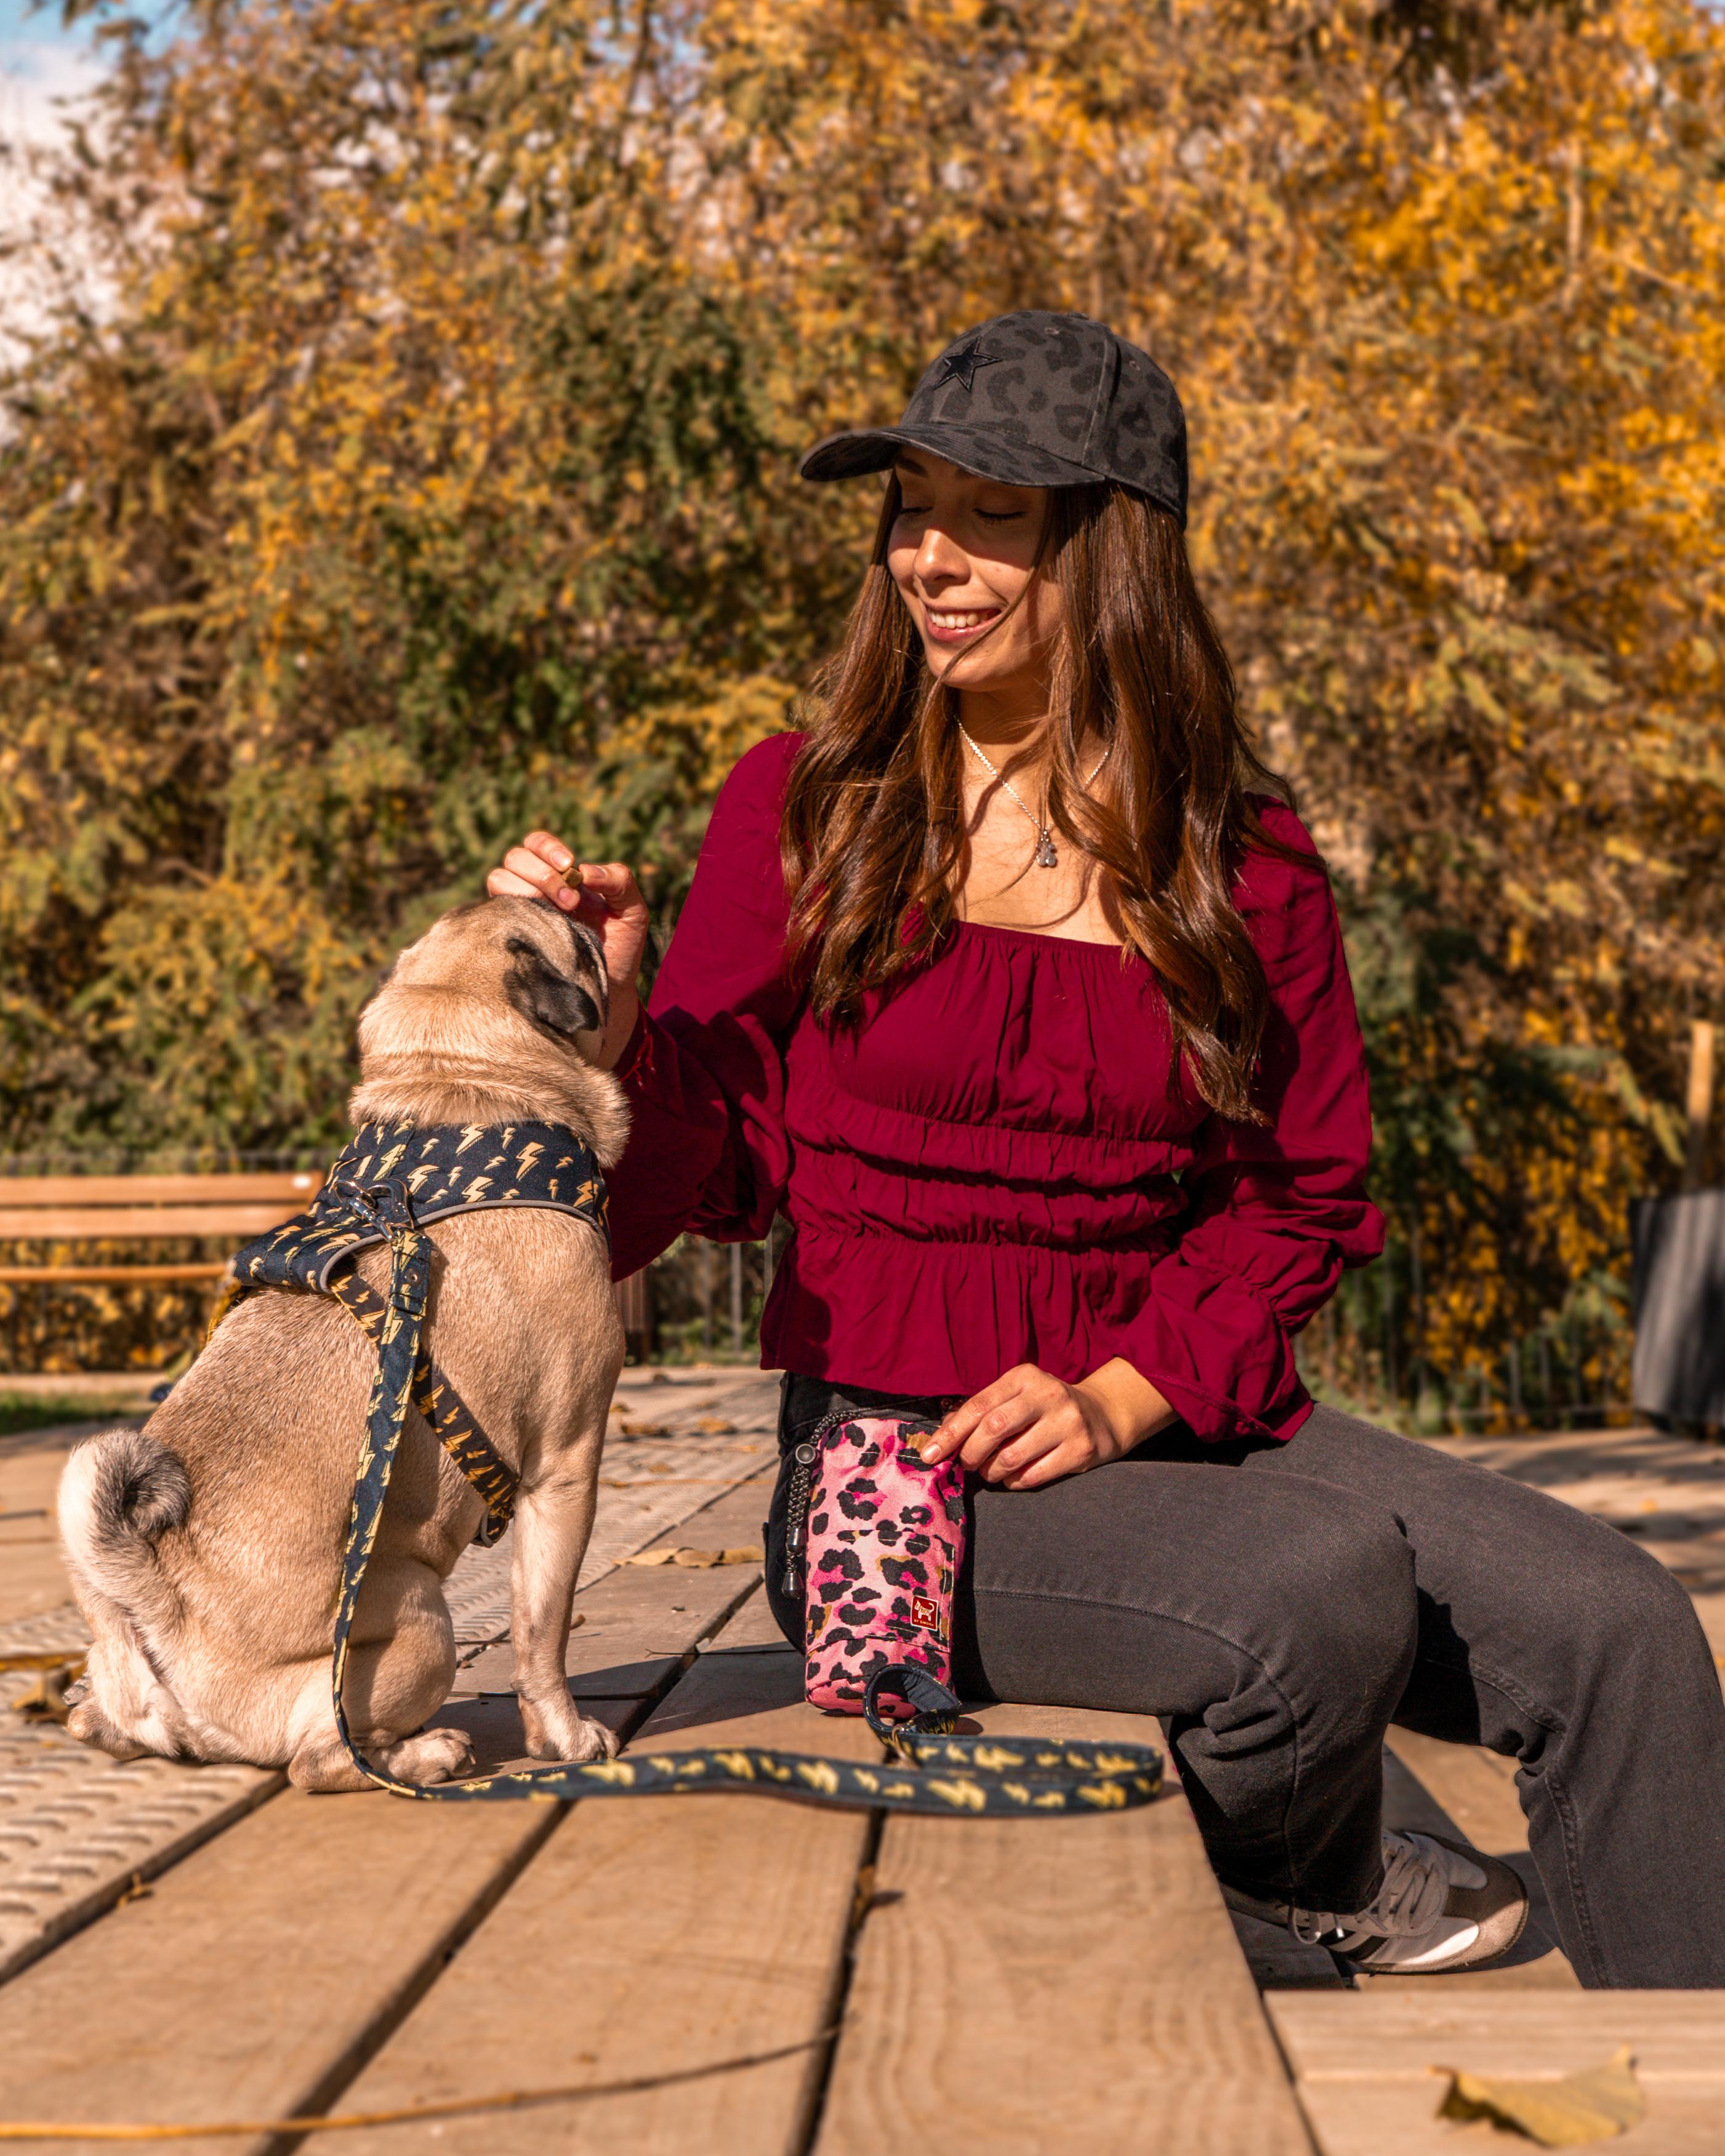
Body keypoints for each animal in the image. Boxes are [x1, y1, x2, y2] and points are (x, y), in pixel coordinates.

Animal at [57, 892, 629, 1785]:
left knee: (102, 1716)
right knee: (319, 1756)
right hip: (425, 1624)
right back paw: (429, 1752)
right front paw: (565, 1739)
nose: (586, 901)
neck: (462, 1084)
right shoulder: (565, 1469)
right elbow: (543, 1630)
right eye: (578, 940)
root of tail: (157, 1606)